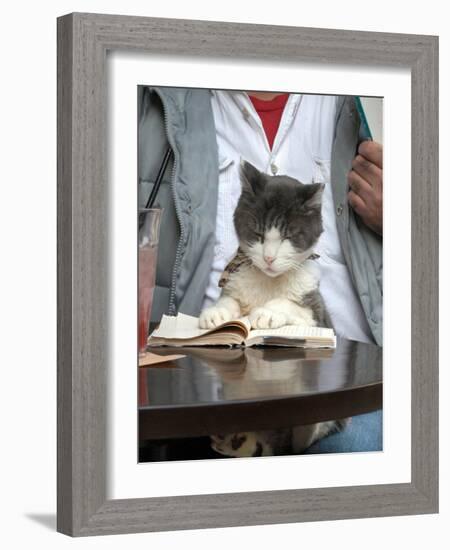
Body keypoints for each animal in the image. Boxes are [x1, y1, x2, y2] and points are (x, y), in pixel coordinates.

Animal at [200, 162, 344, 460]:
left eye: (289, 236)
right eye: (257, 234)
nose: (268, 258)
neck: (268, 282)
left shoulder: (318, 311)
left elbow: (291, 305)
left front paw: (266, 313)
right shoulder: (236, 281)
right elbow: (230, 300)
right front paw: (216, 314)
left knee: (304, 438)